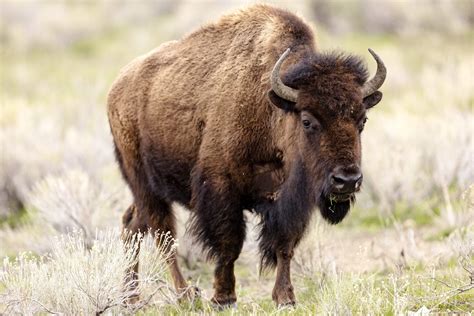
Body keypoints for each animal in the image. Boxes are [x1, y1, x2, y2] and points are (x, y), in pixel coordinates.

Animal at [106, 4, 386, 306]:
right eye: (308, 121)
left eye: (362, 121)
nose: (347, 180)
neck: (272, 111)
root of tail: (117, 87)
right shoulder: (221, 189)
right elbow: (229, 245)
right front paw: (223, 297)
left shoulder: (290, 199)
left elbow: (285, 244)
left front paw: (285, 297)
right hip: (144, 182)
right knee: (162, 234)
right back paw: (184, 295)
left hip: (145, 191)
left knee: (133, 224)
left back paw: (131, 296)